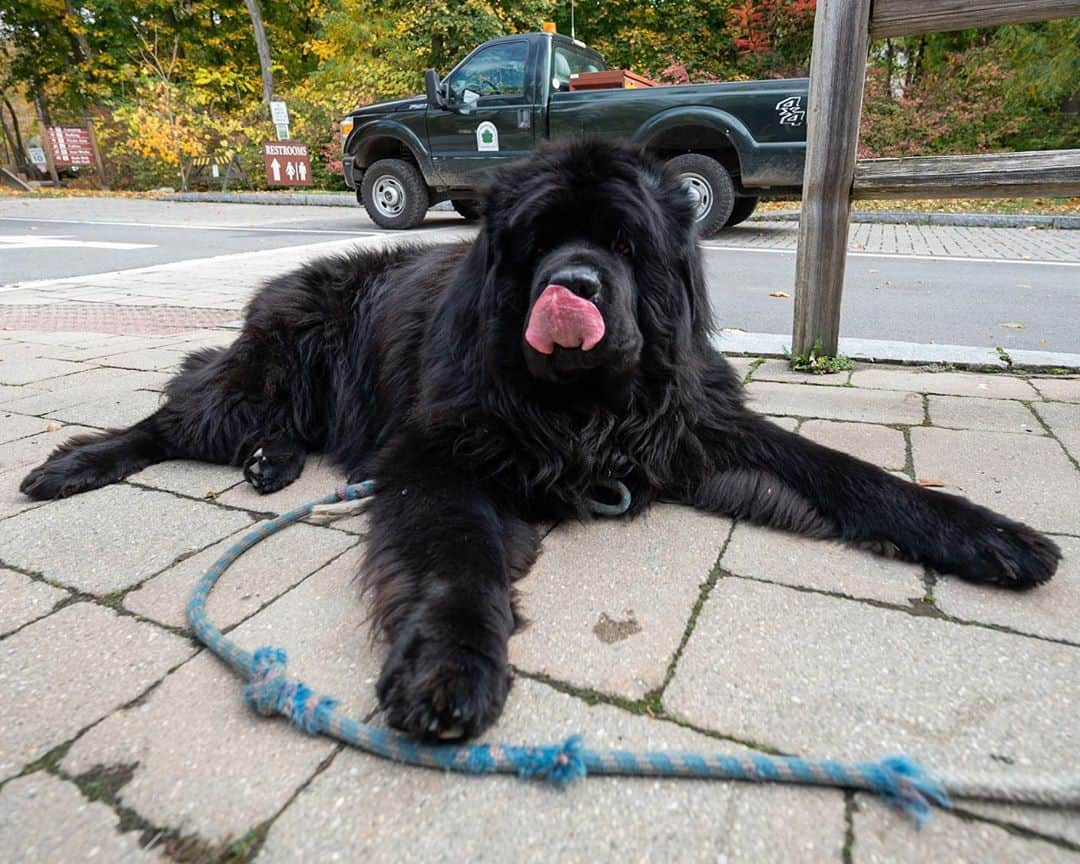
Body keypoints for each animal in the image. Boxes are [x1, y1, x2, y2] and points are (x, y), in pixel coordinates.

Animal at [21, 138, 1058, 738]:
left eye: (626, 244)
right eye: (537, 244)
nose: (575, 287)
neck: (582, 408)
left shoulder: (698, 428)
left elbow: (843, 471)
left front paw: (989, 533)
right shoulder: (441, 458)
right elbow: (455, 559)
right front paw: (450, 664)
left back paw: (270, 463)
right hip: (261, 374)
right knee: (178, 412)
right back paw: (77, 462)